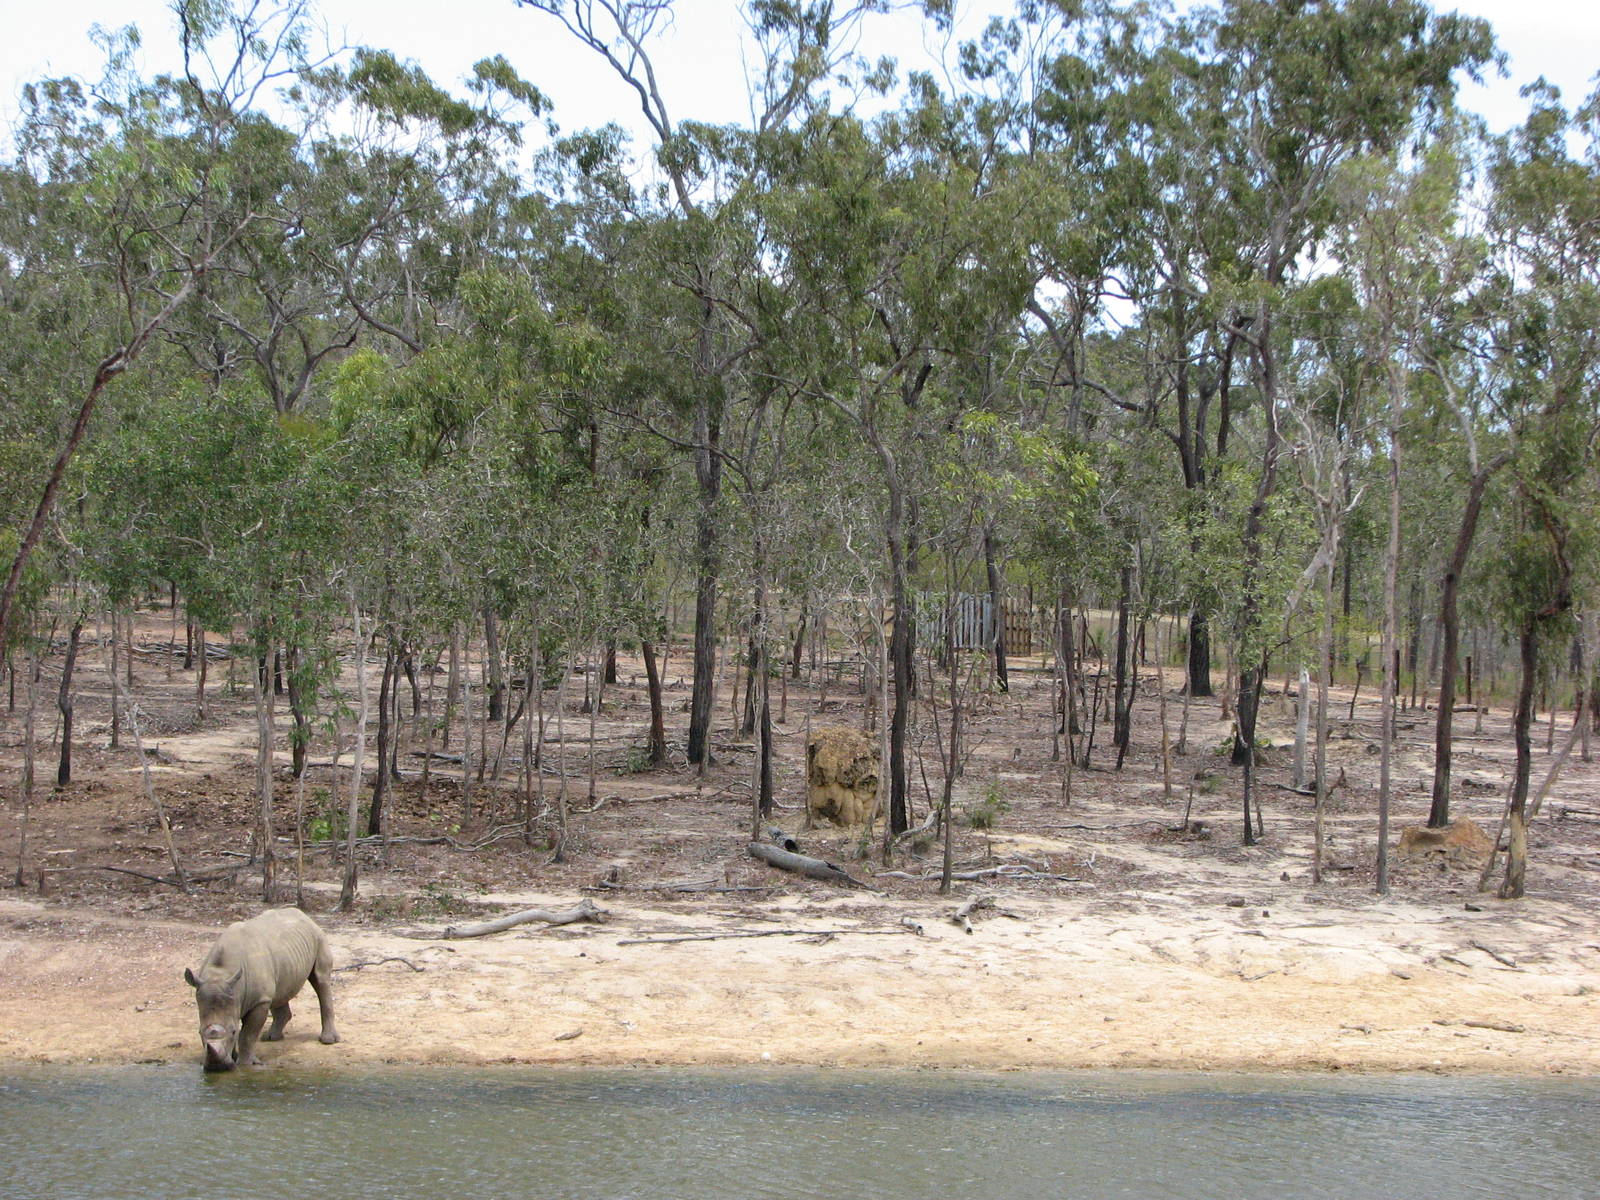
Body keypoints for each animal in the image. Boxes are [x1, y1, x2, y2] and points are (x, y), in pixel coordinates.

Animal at [183, 908, 340, 1072]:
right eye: (199, 1032)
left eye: (233, 1031)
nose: (217, 1068)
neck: (221, 974)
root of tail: (304, 915)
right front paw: (231, 1059)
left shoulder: (259, 1001)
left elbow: (248, 1034)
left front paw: (245, 1064)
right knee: (279, 992)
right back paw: (271, 1037)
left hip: (319, 937)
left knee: (320, 979)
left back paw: (328, 1040)